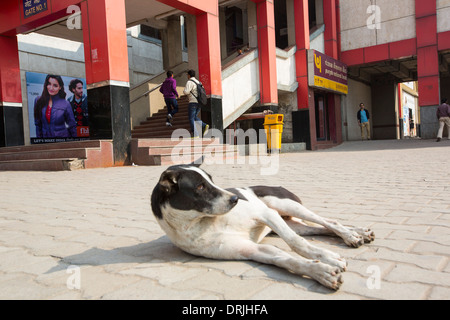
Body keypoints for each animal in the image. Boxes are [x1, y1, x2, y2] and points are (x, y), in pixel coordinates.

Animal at [149, 161, 374, 288]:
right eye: (200, 187)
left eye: (211, 180)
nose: (235, 199)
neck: (203, 221)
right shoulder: (250, 250)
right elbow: (286, 260)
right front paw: (321, 272)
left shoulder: (266, 214)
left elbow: (296, 243)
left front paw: (327, 257)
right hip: (291, 221)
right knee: (320, 227)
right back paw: (358, 233)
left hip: (282, 204)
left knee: (329, 222)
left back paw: (352, 235)